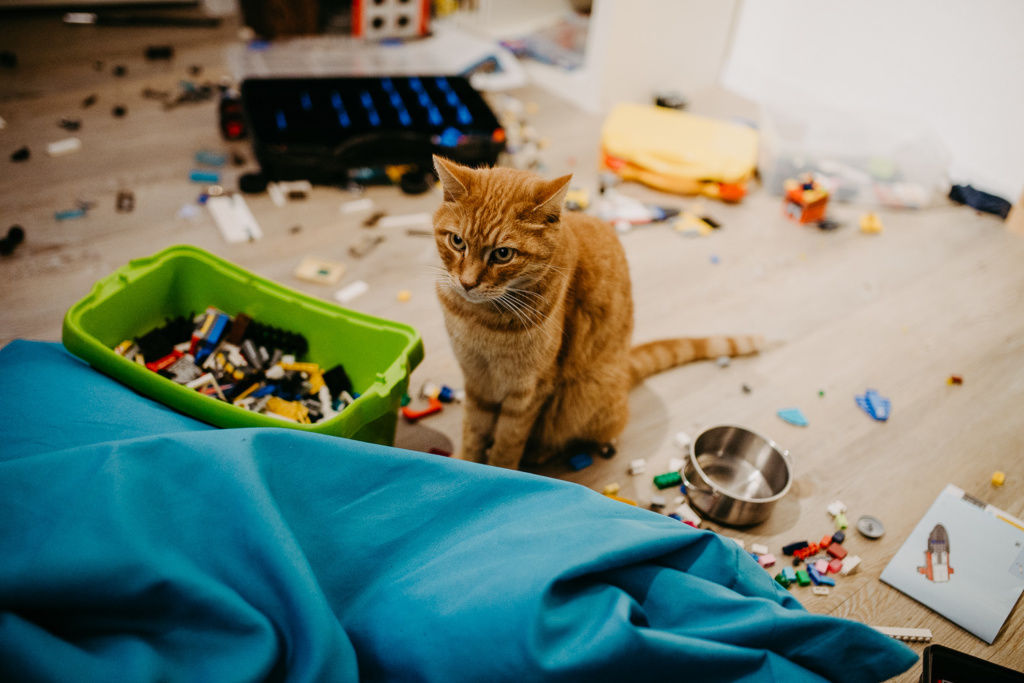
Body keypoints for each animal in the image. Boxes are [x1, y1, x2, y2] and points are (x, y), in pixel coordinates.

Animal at [432, 156, 761, 471]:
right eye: (457, 241)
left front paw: (502, 472)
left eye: (503, 254)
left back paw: (540, 454)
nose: (467, 283)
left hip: (578, 397)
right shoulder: (477, 381)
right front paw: (466, 464)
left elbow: (507, 443)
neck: (479, 319)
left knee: (575, 434)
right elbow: (473, 433)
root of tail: (625, 367)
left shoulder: (528, 392)